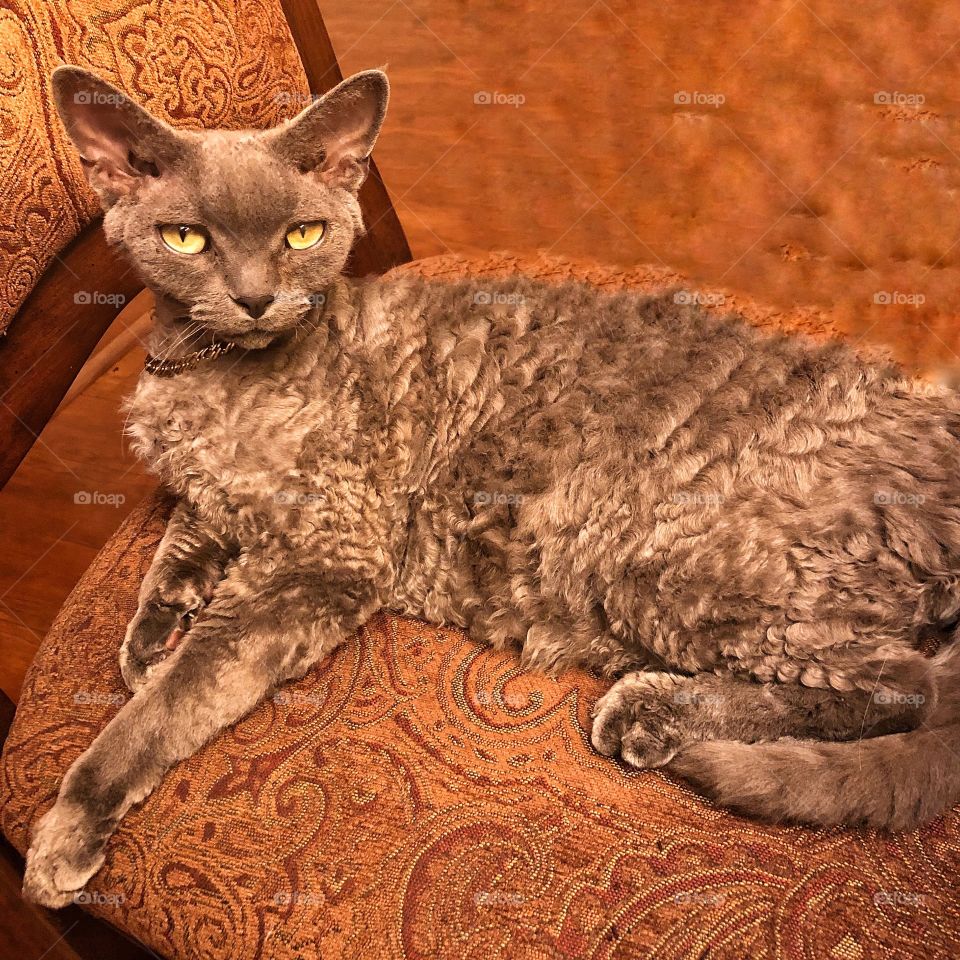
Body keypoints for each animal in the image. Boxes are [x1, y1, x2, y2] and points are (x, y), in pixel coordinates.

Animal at [20, 65, 960, 908]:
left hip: (671, 558)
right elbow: (184, 533)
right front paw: (151, 633)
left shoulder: (329, 554)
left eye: (301, 235)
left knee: (904, 690)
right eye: (186, 238)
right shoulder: (224, 500)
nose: (254, 299)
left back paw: (653, 712)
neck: (205, 371)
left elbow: (179, 697)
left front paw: (71, 822)